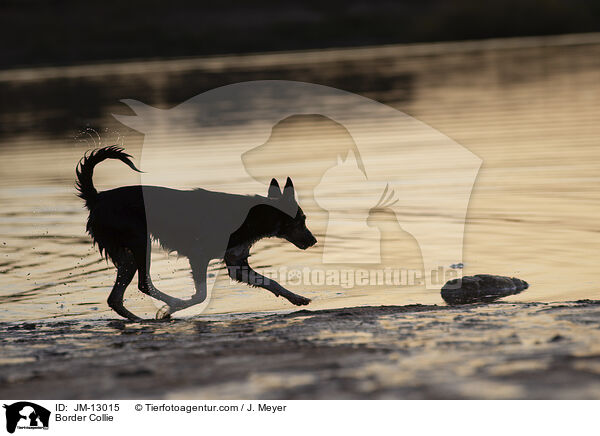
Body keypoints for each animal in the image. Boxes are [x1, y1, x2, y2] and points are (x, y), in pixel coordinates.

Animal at [77, 146, 316, 320]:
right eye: (302, 220)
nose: (313, 241)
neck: (252, 216)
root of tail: (97, 197)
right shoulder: (198, 256)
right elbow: (200, 296)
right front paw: (170, 309)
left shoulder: (236, 263)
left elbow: (271, 282)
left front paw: (297, 298)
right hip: (140, 242)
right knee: (143, 284)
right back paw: (168, 304)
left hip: (127, 256)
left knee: (115, 299)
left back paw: (138, 320)